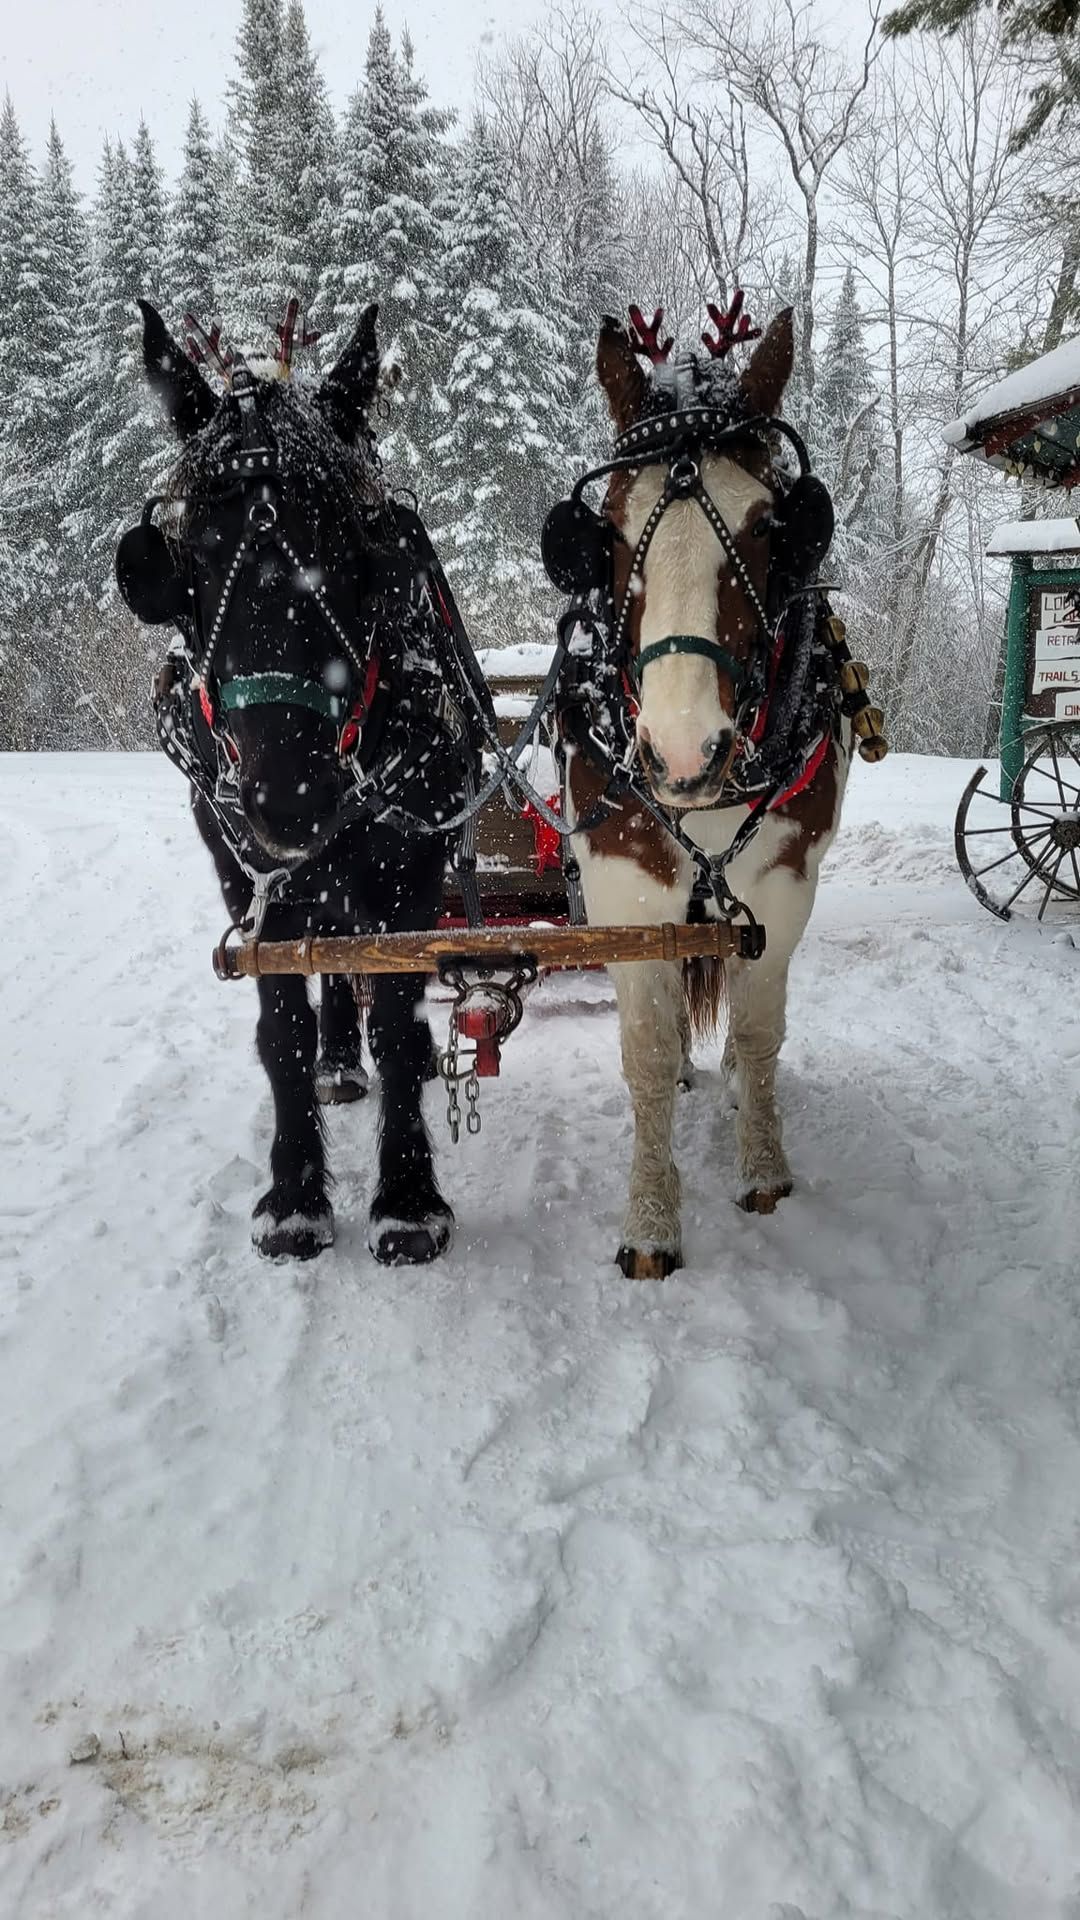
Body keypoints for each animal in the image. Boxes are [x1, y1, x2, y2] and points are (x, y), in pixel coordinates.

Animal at [119, 295, 480, 1259]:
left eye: (357, 544)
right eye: (185, 558)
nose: (292, 797)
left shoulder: (409, 872)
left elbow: (399, 1019)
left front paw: (407, 1196)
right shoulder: (244, 870)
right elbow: (279, 1027)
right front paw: (293, 1196)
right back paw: (336, 1063)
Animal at [564, 311, 849, 1274]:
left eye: (772, 528)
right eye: (608, 534)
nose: (684, 751)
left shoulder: (785, 886)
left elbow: (760, 1035)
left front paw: (762, 1169)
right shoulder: (623, 885)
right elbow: (648, 1055)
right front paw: (651, 1221)